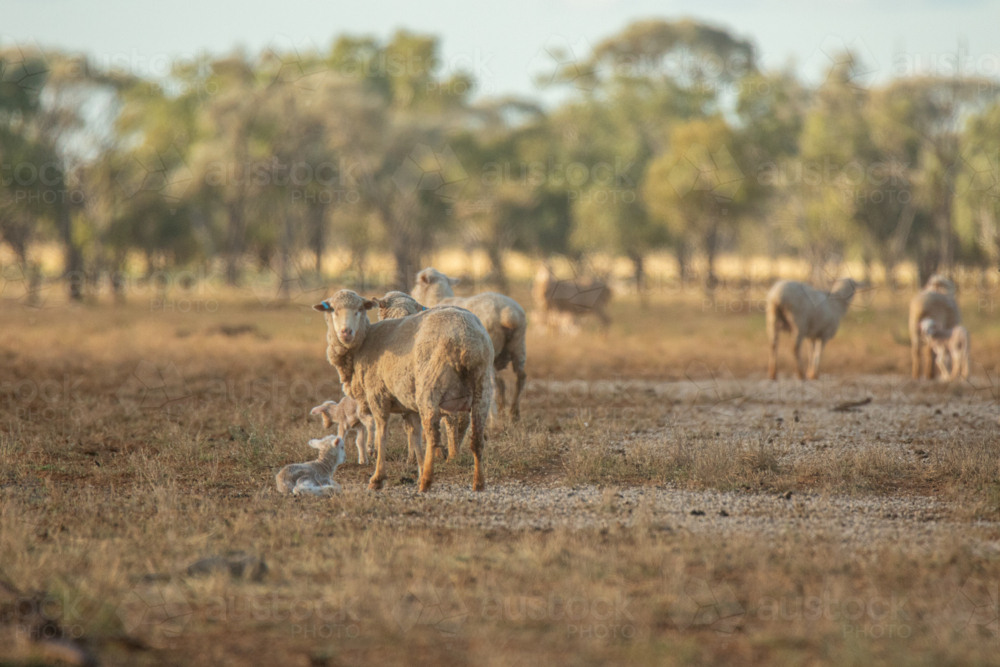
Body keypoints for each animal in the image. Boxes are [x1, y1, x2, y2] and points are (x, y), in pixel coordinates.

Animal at [313, 290, 494, 492]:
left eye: (359, 309)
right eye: (333, 310)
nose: (346, 332)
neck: (364, 343)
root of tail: (465, 337)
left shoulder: (378, 395)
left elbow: (382, 433)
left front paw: (377, 478)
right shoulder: (409, 405)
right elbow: (415, 437)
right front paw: (417, 468)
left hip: (429, 389)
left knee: (433, 436)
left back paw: (426, 481)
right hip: (482, 389)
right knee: (477, 439)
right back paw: (478, 483)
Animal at [411, 268, 527, 422]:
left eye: (418, 283)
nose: (412, 293)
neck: (438, 299)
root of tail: (508, 313)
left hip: (491, 350)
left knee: (495, 384)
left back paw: (496, 417)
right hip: (519, 344)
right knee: (519, 377)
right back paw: (513, 413)